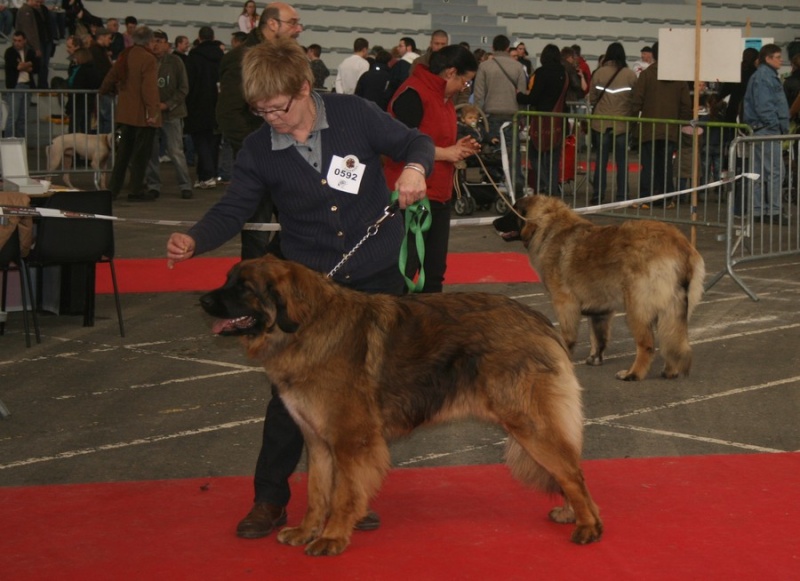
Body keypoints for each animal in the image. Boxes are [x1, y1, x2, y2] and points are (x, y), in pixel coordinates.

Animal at [200, 256, 600, 556]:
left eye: (244, 287)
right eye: (228, 278)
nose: (203, 300)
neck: (304, 326)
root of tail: (539, 321)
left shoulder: (351, 440)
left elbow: (343, 494)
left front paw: (332, 537)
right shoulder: (317, 441)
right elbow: (317, 493)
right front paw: (307, 531)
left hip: (528, 423)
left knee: (572, 472)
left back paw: (587, 527)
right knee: (570, 469)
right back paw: (577, 514)